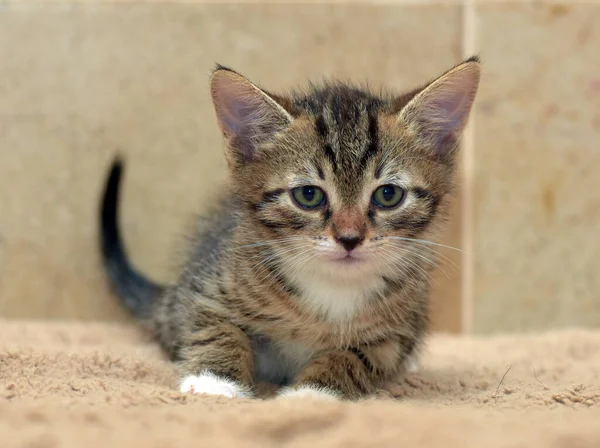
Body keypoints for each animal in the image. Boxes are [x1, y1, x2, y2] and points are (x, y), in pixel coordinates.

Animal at [101, 57, 480, 400]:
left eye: (388, 195)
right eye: (308, 195)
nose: (349, 238)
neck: (332, 288)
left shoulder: (392, 338)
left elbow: (354, 358)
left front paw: (312, 392)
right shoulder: (204, 289)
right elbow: (216, 329)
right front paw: (216, 381)